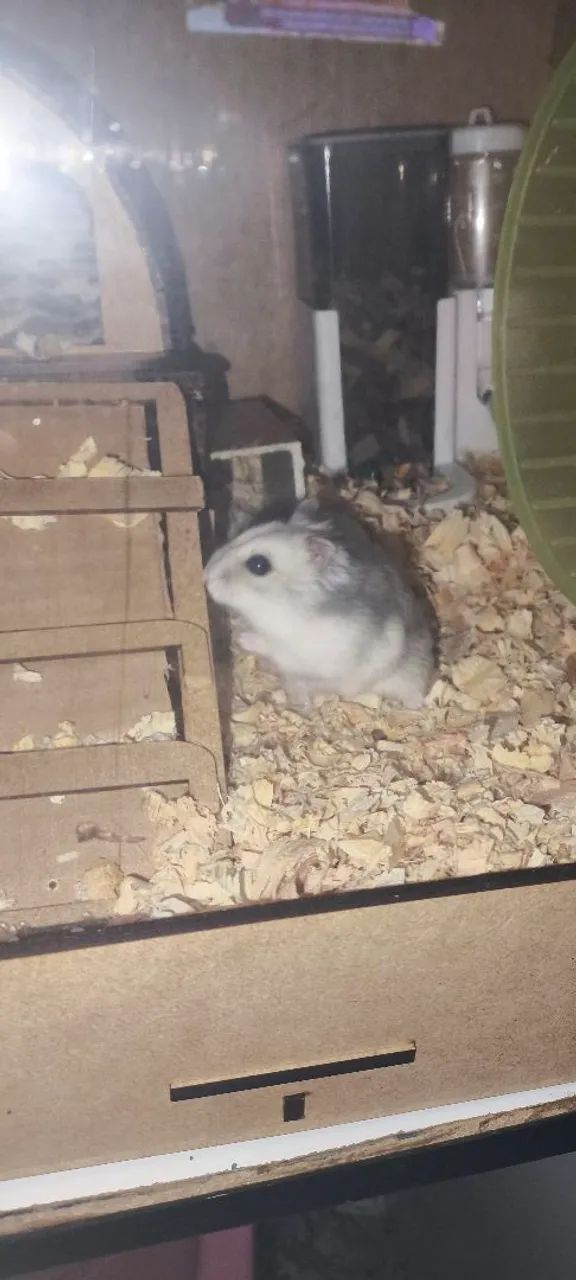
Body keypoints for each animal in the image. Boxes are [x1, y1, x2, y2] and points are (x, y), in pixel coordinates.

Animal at [204, 498, 435, 710]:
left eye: (259, 565)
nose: (206, 576)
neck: (279, 604)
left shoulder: (307, 652)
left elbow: (271, 645)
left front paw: (242, 639)